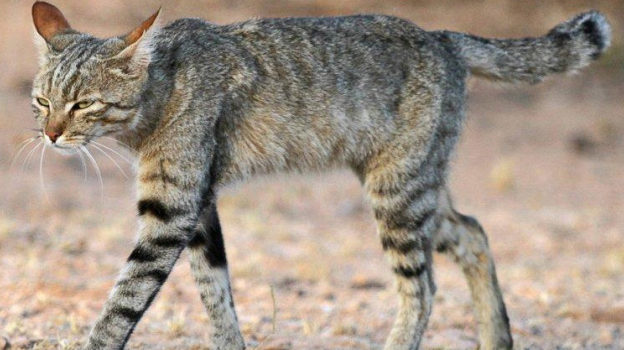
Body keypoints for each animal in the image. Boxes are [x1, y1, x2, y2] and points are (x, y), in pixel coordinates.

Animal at [31, 1, 612, 348]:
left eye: (83, 104)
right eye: (41, 102)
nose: (51, 134)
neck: (158, 95)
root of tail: (442, 35)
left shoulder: (173, 211)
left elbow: (125, 300)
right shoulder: (198, 208)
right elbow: (216, 293)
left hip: (398, 192)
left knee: (422, 287)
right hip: (416, 185)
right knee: (473, 231)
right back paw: (497, 339)